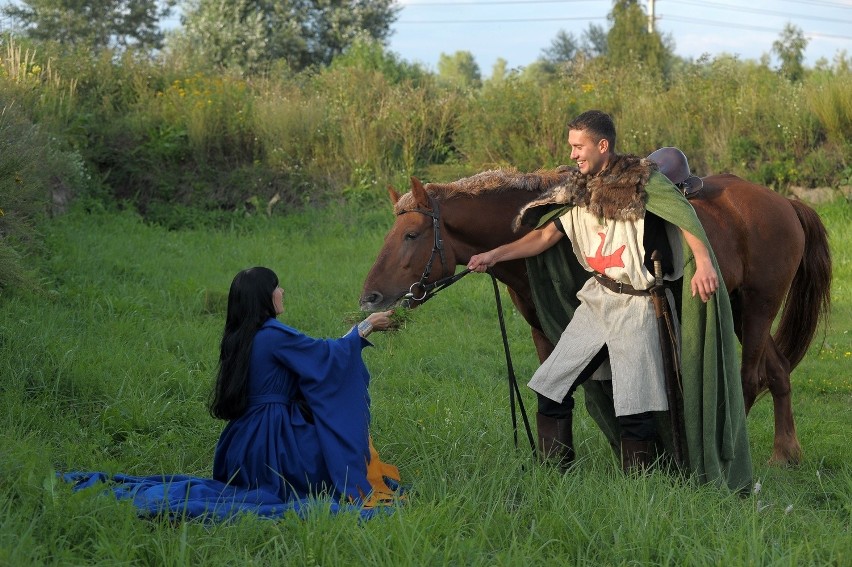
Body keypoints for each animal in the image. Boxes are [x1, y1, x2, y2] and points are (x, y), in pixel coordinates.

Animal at [362, 170, 832, 466]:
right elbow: (554, 390)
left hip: (757, 306)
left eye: (411, 235)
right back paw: (784, 454)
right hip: (739, 308)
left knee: (750, 377)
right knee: (778, 370)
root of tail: (784, 202)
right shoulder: (544, 329)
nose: (369, 298)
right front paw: (555, 461)